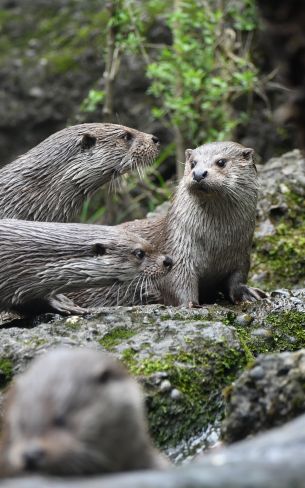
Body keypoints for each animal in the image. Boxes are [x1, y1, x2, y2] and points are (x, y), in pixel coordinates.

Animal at [72, 141, 264, 306]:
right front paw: (191, 304)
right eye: (193, 163)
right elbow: (176, 281)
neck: (217, 244)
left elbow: (237, 279)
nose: (198, 174)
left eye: (221, 162)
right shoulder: (179, 248)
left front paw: (248, 293)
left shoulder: (241, 255)